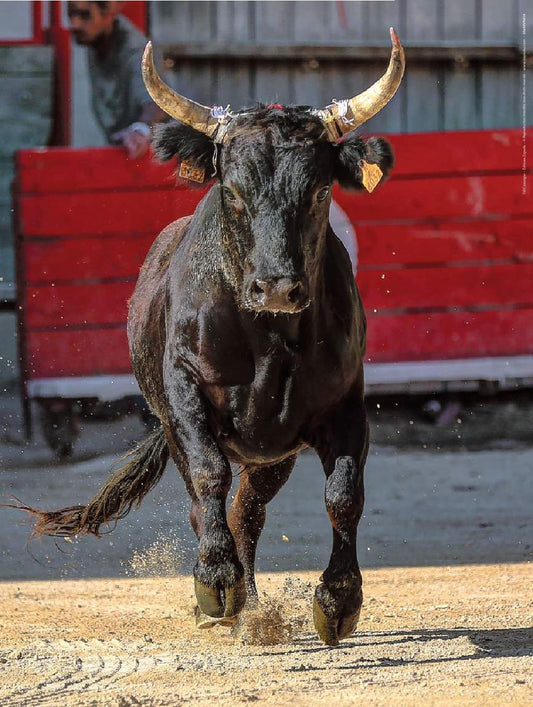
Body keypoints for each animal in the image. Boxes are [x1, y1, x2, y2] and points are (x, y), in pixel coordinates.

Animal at [14, 106, 394, 648]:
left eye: (321, 192)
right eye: (231, 192)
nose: (276, 289)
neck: (268, 335)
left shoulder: (344, 406)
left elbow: (343, 495)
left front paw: (339, 603)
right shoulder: (184, 397)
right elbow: (209, 474)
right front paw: (215, 581)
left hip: (272, 456)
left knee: (247, 513)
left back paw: (248, 603)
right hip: (181, 430)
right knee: (206, 502)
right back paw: (221, 598)